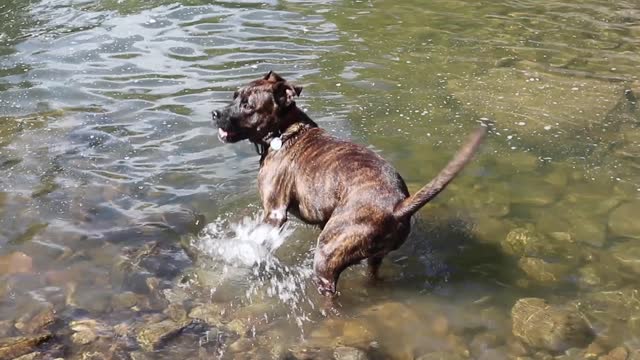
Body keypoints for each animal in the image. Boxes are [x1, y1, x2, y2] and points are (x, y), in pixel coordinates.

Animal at [212, 71, 488, 296]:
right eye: (234, 96)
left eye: (248, 105)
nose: (215, 114)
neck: (284, 132)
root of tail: (398, 206)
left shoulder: (275, 214)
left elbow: (254, 240)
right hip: (372, 258)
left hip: (326, 256)